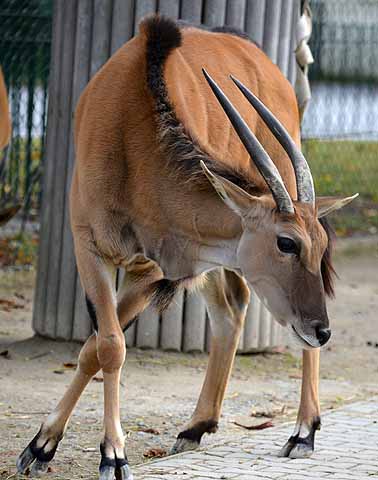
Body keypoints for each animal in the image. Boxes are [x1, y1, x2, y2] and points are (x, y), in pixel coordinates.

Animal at [17, 15, 358, 480]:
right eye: (286, 242)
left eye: (316, 246)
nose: (321, 330)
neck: (130, 130)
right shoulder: (89, 246)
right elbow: (102, 346)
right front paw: (43, 445)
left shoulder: (155, 267)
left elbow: (105, 346)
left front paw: (112, 454)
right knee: (230, 309)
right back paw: (197, 425)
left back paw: (303, 431)